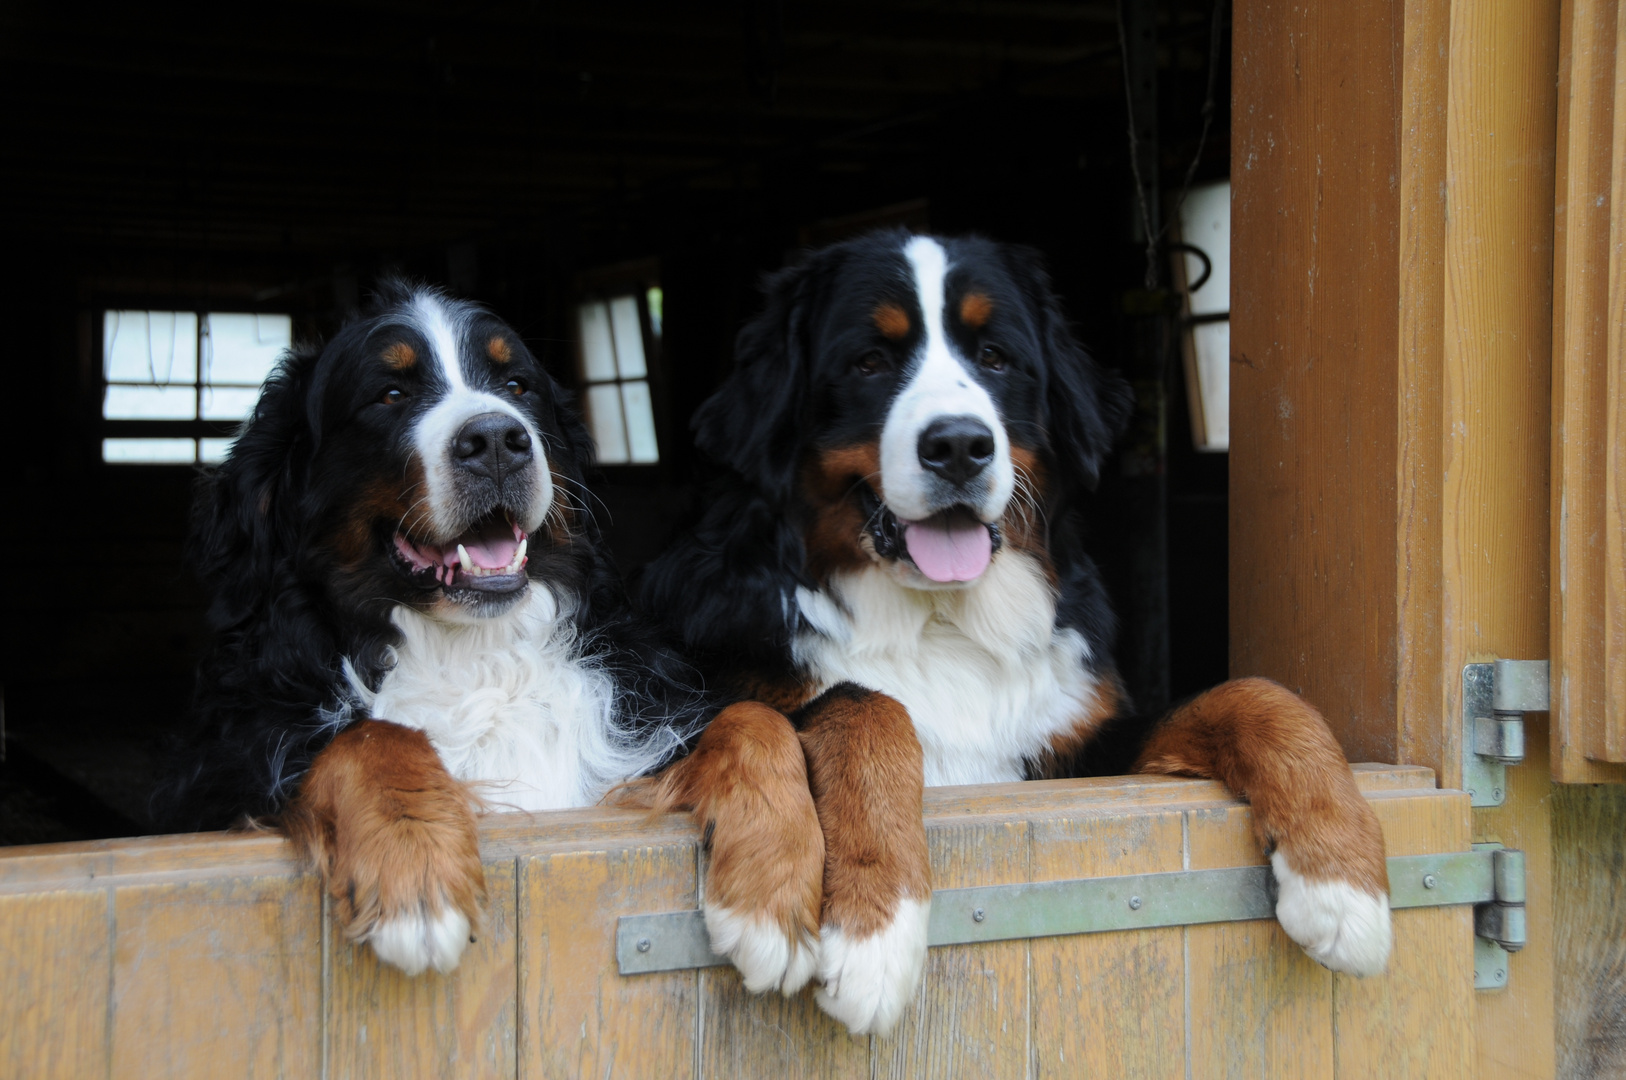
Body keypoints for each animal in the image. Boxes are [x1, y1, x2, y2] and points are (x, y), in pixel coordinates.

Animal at [160, 283, 712, 975]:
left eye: (516, 384)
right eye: (390, 393)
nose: (498, 439)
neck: (473, 656)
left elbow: (754, 723)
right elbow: (374, 736)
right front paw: (416, 878)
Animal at [640, 229, 1391, 1040]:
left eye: (996, 357)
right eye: (869, 362)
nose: (958, 446)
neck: (939, 619)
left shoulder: (1079, 756)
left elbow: (1253, 695)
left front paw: (1343, 881)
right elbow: (851, 707)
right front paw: (830, 918)